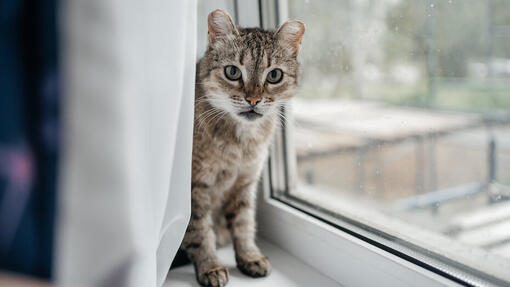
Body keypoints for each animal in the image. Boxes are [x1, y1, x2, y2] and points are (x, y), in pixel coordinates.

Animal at [180, 9, 304, 287]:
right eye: (232, 72)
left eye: (274, 75)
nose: (253, 100)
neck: (241, 143)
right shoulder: (195, 187)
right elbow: (200, 231)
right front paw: (210, 266)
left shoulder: (245, 182)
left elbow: (244, 224)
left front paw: (249, 256)